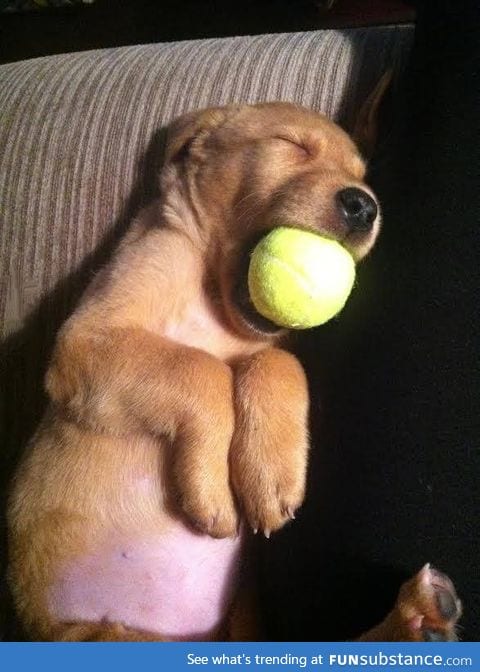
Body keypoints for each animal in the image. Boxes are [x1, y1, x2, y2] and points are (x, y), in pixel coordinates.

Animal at [4, 102, 462, 644]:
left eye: (362, 178)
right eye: (292, 145)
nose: (364, 206)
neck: (216, 305)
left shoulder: (273, 347)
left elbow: (274, 361)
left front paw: (270, 472)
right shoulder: (87, 338)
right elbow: (201, 368)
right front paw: (212, 491)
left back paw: (418, 620)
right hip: (99, 634)